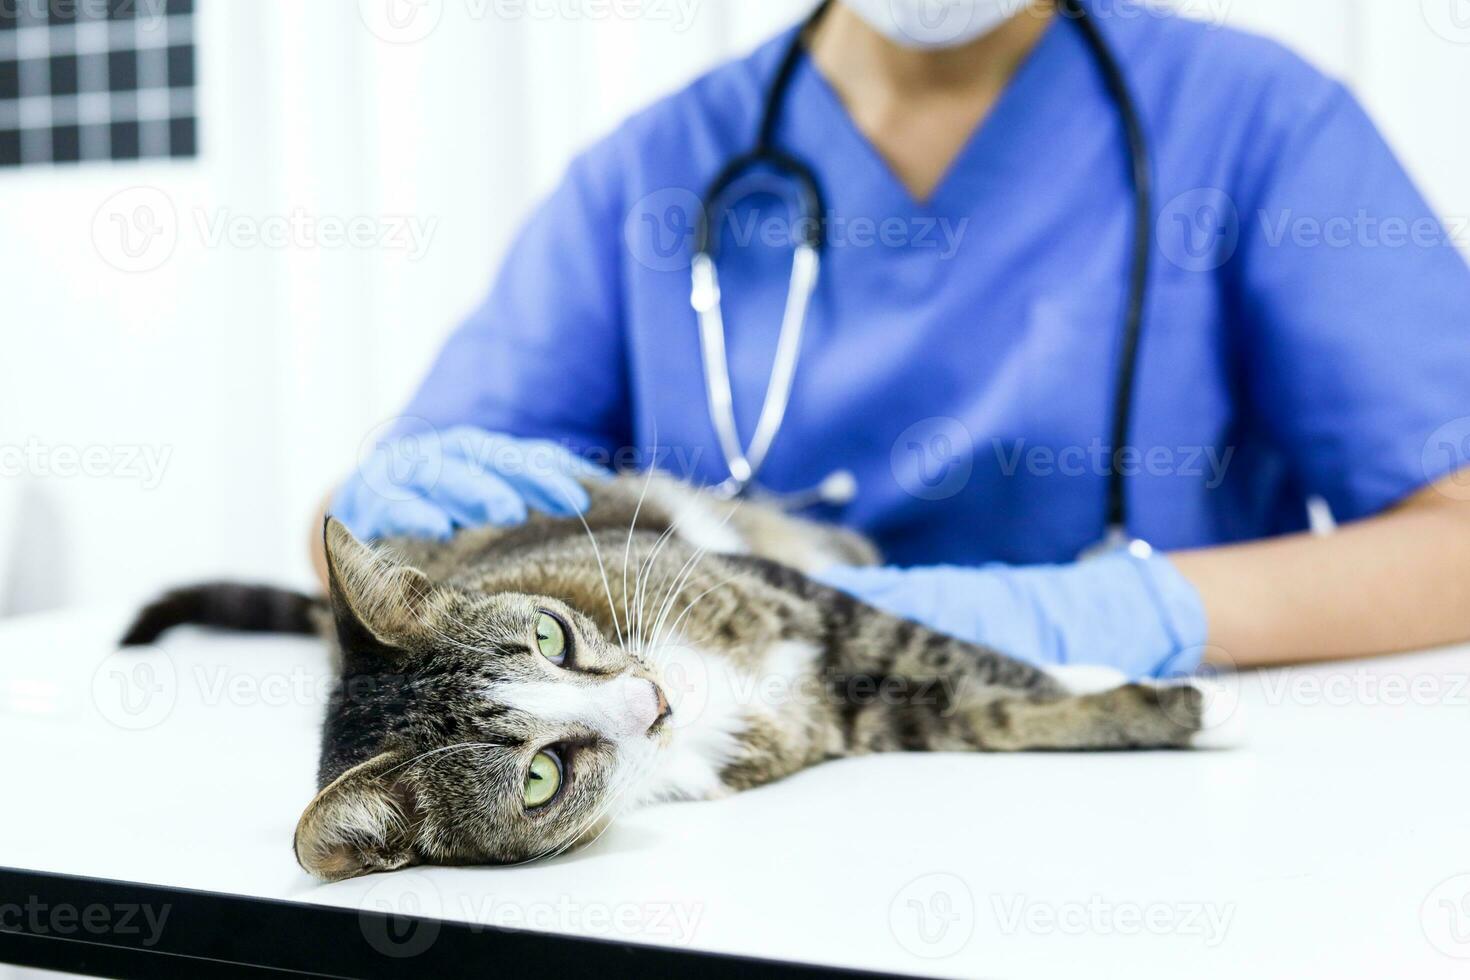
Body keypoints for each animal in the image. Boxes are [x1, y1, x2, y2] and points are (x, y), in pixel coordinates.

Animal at [126, 470, 1223, 875]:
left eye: (552, 636)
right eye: (540, 776)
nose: (650, 698)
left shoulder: (807, 603)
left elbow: (966, 652)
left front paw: (1104, 667)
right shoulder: (835, 718)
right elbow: (979, 712)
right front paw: (1158, 708)